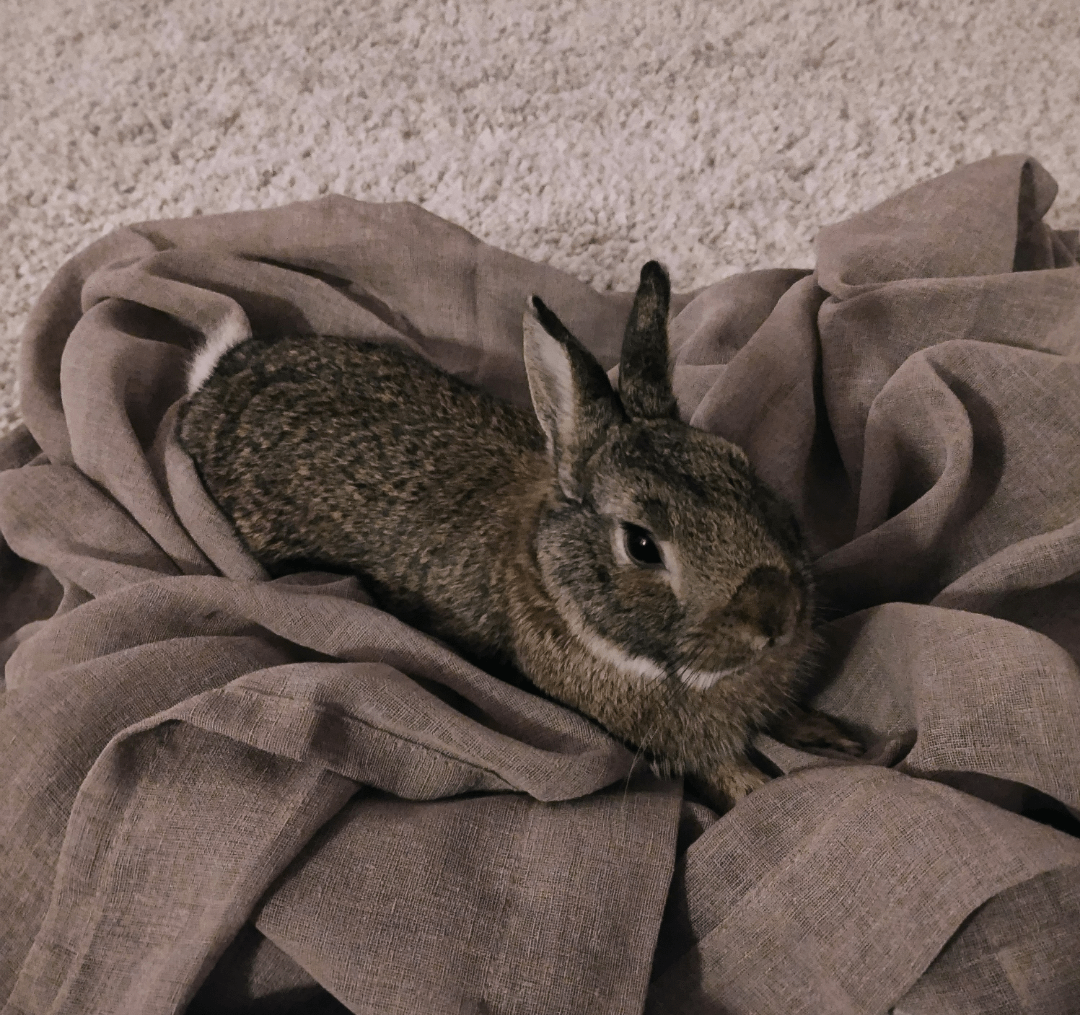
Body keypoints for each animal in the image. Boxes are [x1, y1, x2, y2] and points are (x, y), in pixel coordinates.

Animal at [178, 261, 861, 811]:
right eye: (641, 544)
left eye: (741, 469)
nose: (774, 616)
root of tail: (214, 387)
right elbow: (732, 776)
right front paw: (774, 788)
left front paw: (834, 735)